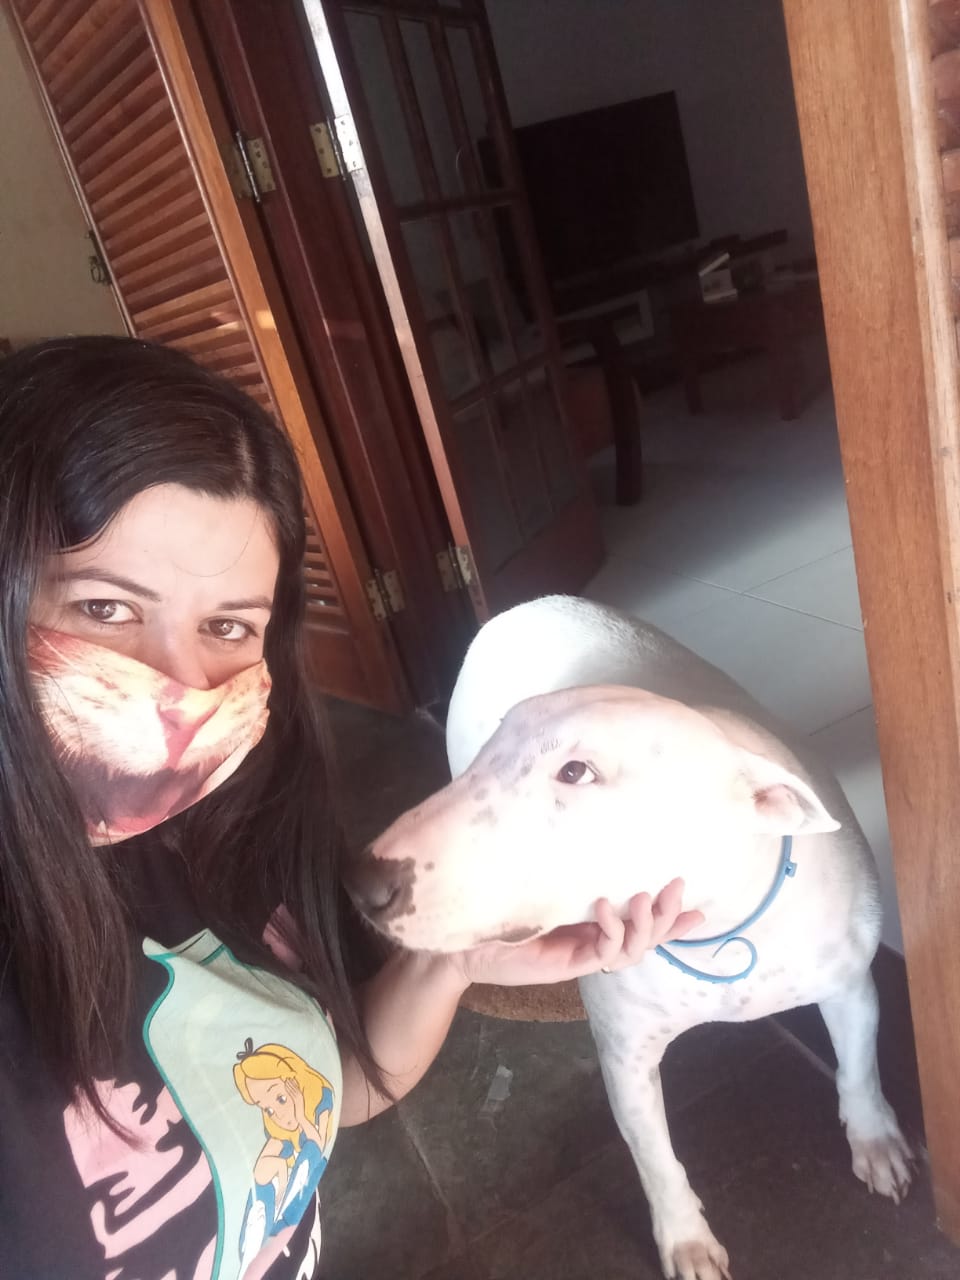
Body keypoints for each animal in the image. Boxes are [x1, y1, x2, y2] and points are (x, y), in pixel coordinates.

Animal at [345, 595, 912, 1279]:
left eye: (575, 770)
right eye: (495, 752)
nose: (363, 884)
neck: (721, 933)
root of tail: (523, 604)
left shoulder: (851, 983)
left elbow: (859, 1067)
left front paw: (875, 1140)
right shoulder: (626, 1056)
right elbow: (654, 1157)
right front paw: (687, 1240)